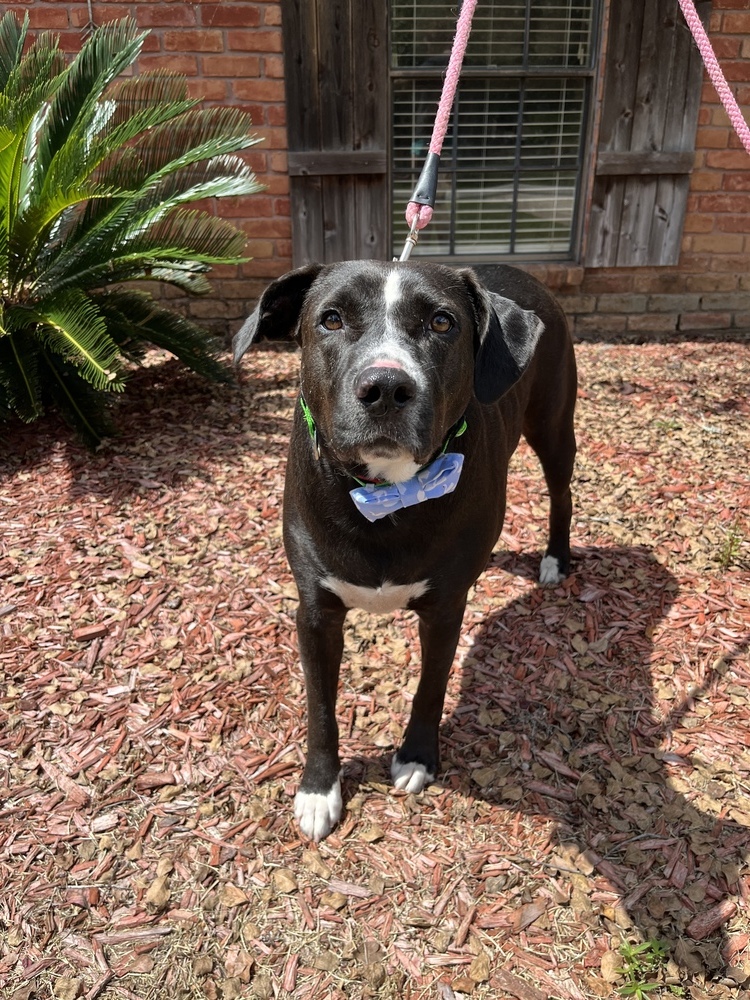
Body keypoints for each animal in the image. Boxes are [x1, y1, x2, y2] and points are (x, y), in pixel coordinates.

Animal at [238, 262, 580, 840]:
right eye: (331, 319)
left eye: (442, 322)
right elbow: (320, 707)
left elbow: (432, 685)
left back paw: (556, 559)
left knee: (562, 491)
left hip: (554, 424)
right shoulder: (315, 612)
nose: (385, 387)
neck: (387, 495)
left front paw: (417, 756)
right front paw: (318, 790)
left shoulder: (445, 609)